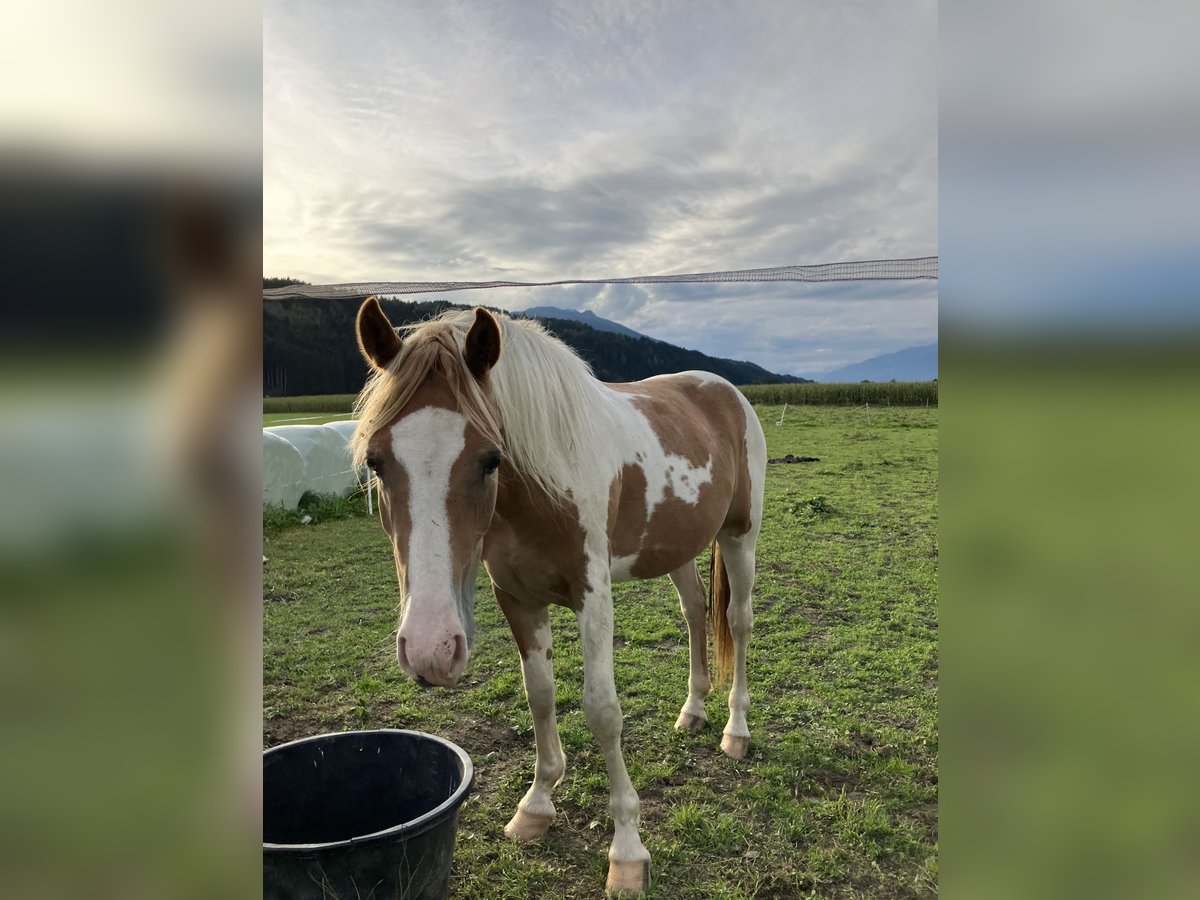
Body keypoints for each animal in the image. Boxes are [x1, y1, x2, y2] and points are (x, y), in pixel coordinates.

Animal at [348, 301, 763, 897]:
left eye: (490, 458)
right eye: (376, 461)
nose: (430, 649)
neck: (544, 485)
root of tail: (723, 389)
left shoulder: (594, 596)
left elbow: (602, 711)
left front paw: (627, 852)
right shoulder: (517, 598)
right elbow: (540, 696)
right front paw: (537, 806)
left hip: (739, 534)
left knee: (738, 619)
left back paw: (735, 730)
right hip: (677, 547)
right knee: (694, 611)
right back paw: (693, 711)